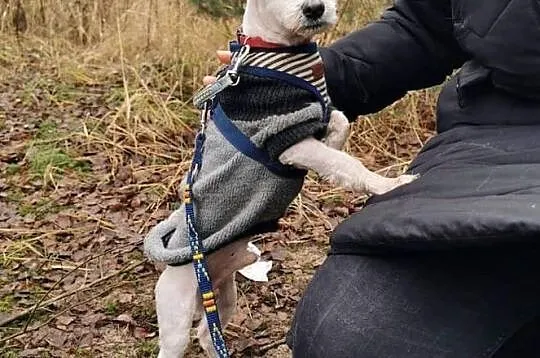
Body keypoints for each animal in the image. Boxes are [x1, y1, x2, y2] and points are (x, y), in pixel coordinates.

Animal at [150, 1, 416, 356]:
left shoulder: (311, 118)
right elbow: (346, 163)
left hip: (224, 297)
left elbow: (340, 122)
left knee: (208, 334)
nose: (314, 9)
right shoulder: (287, 138)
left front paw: (333, 142)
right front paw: (389, 184)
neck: (280, 49)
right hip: (176, 316)